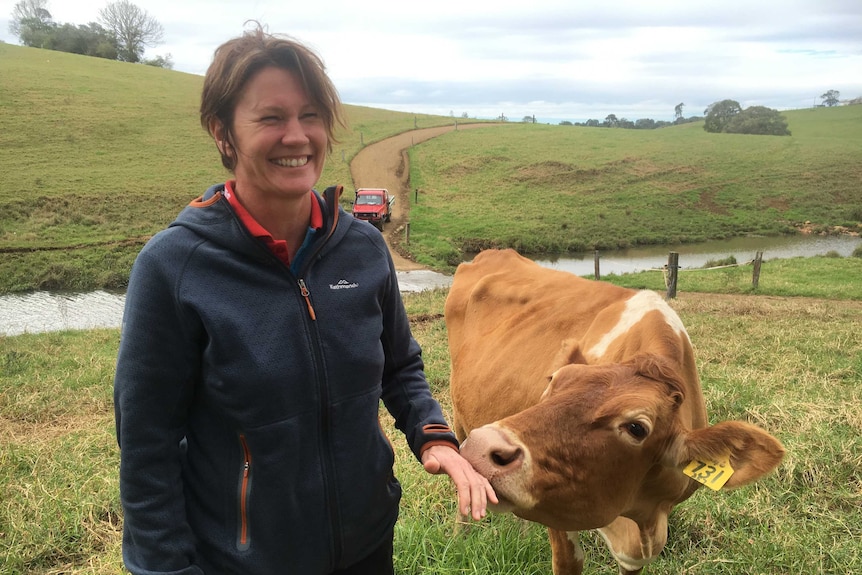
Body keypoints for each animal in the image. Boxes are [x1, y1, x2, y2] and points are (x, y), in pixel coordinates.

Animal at [448, 251, 788, 575]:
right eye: (554, 381)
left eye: (637, 427)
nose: (482, 446)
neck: (642, 520)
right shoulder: (558, 514)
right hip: (459, 415)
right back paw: (460, 536)